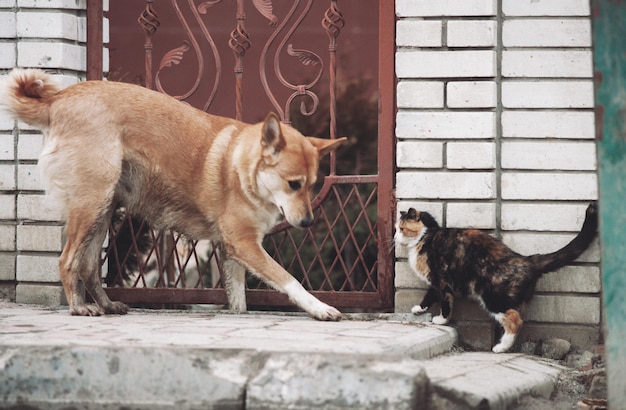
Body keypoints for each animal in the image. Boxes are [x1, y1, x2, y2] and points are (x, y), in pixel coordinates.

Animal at [0, 69, 344, 320]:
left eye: (313, 184)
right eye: (294, 184)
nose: (309, 223)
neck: (242, 168)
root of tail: (59, 99)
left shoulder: (231, 252)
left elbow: (238, 301)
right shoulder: (245, 245)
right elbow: (288, 279)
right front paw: (320, 308)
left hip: (103, 210)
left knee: (88, 267)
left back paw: (107, 305)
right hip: (91, 205)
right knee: (67, 260)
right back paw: (78, 306)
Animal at [394, 203, 596, 350]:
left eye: (401, 228)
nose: (395, 238)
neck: (426, 236)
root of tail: (525, 259)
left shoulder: (440, 280)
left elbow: (443, 301)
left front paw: (438, 318)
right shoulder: (441, 283)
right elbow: (438, 298)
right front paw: (422, 311)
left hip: (493, 297)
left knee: (515, 320)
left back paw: (501, 348)